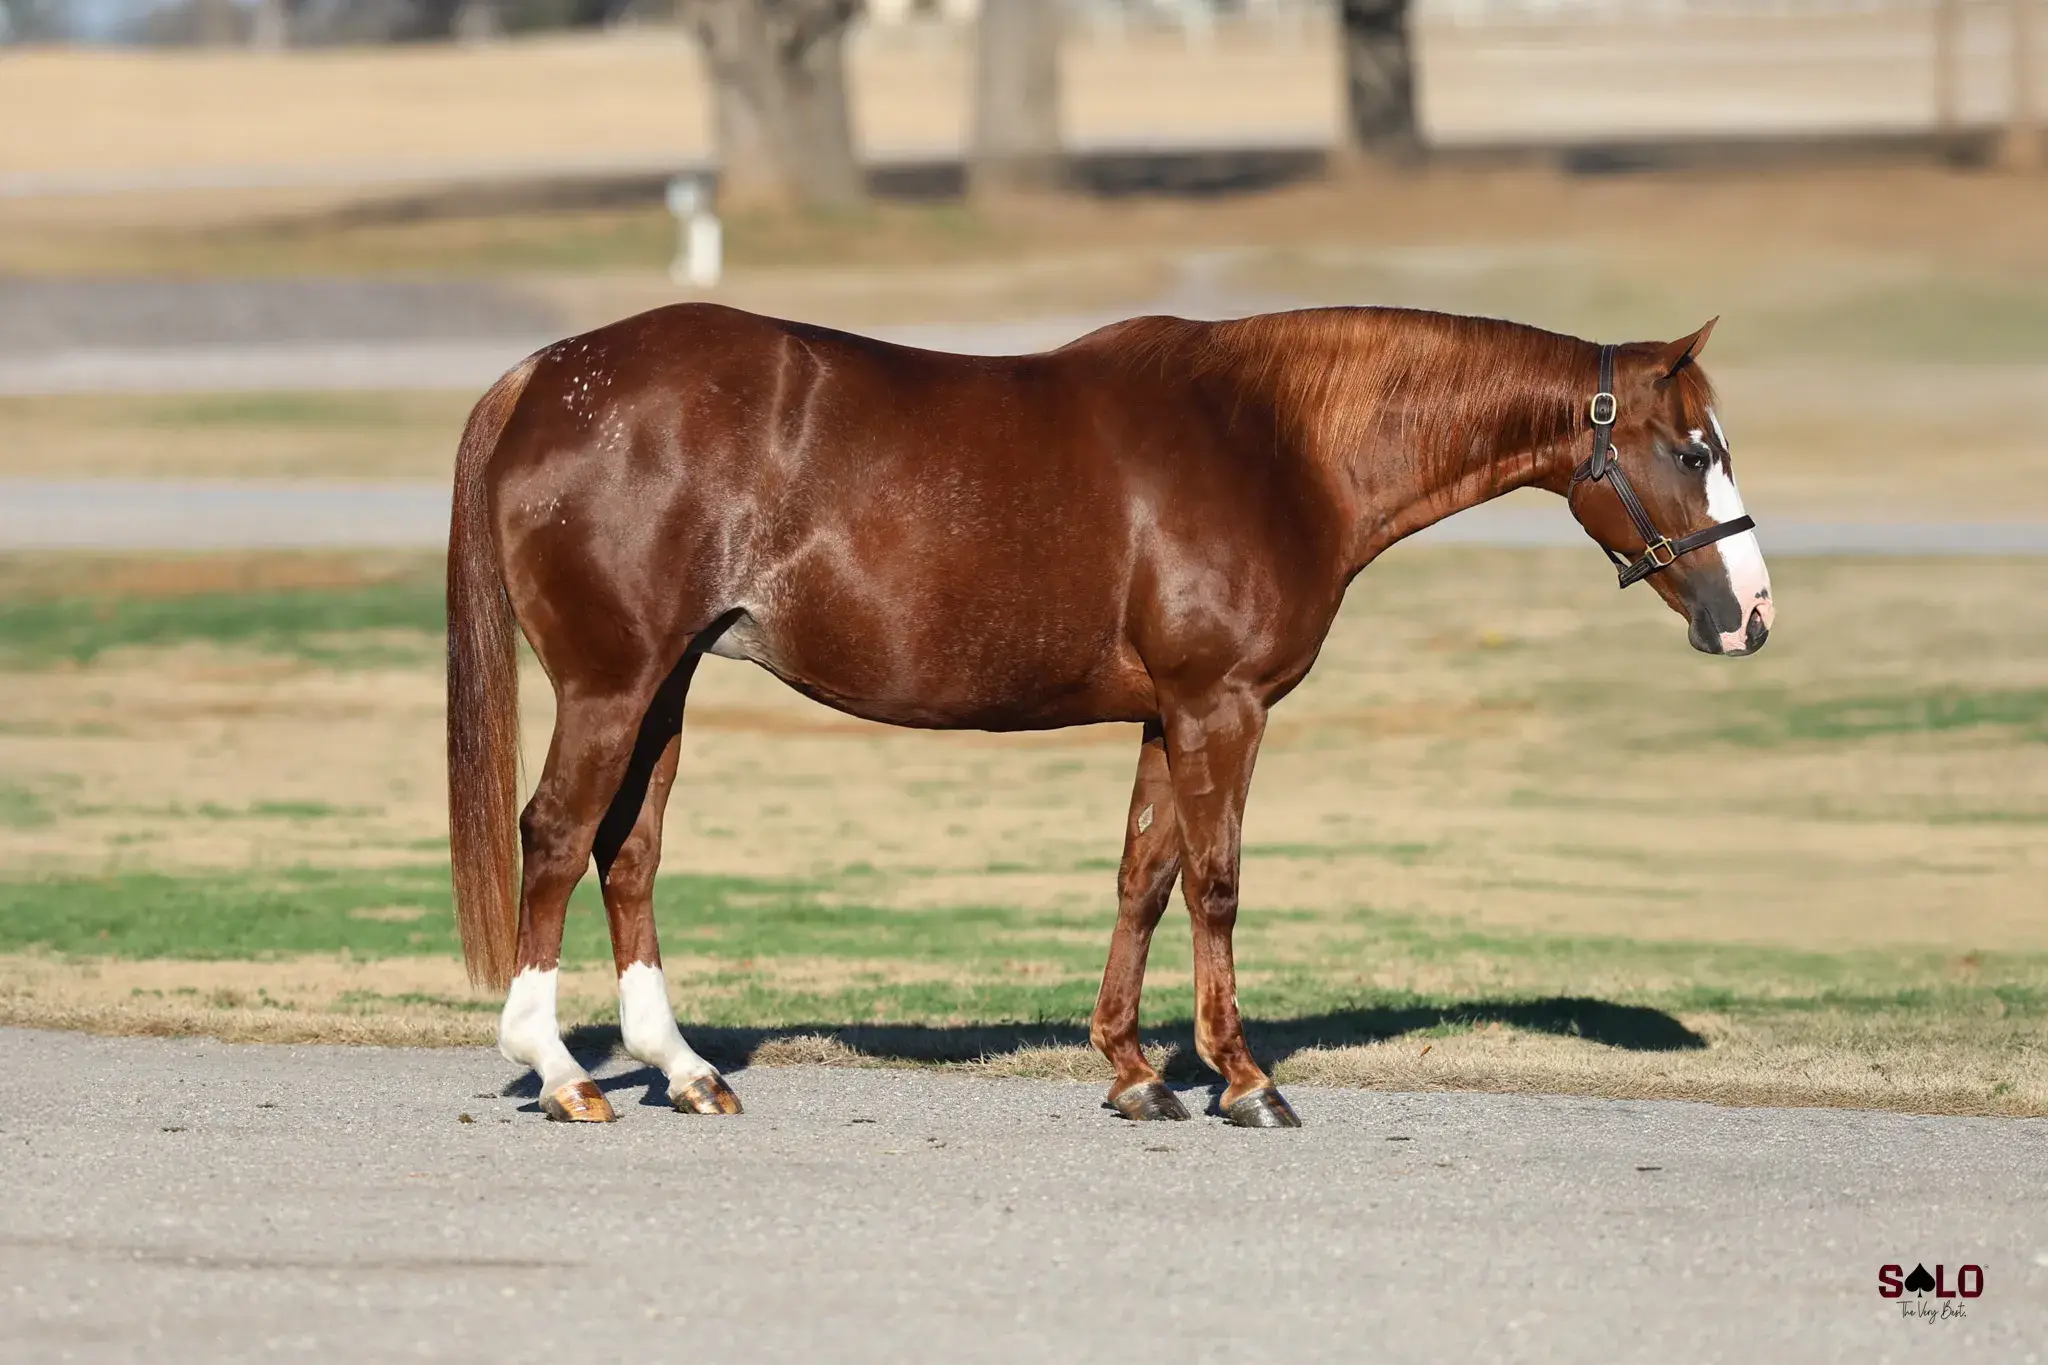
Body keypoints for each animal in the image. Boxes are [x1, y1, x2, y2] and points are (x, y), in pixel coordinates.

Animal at [446, 303, 1770, 1128]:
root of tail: (545, 377)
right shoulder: (1220, 709)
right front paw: (1243, 1078)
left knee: (628, 851)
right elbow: (1216, 884)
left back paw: (679, 1070)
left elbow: (1143, 877)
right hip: (613, 683)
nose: (1749, 614)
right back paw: (558, 1072)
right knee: (555, 837)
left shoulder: (1165, 716)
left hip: (664, 686)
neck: (1275, 445)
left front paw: (1135, 1072)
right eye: (1691, 449)